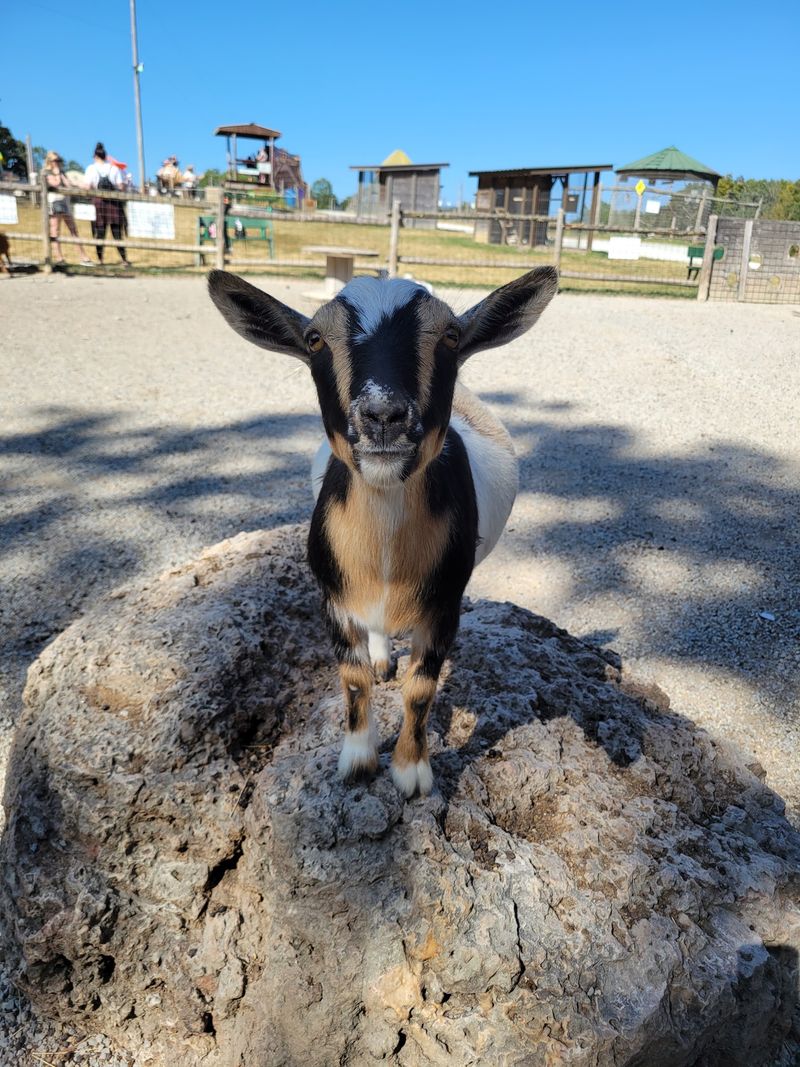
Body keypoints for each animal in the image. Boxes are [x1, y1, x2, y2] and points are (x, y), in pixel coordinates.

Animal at [208, 266, 558, 797]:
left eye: (451, 336)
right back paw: (379, 657)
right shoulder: (332, 597)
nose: (383, 416)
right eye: (314, 339)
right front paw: (357, 760)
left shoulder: (445, 604)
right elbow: (352, 678)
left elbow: (421, 687)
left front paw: (411, 773)